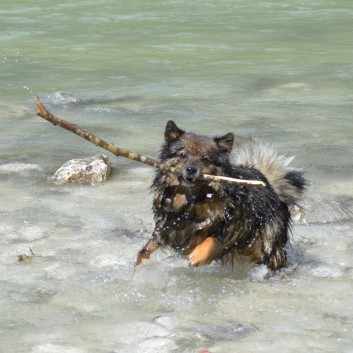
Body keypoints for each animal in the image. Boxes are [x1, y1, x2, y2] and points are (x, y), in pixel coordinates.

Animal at [135, 119, 306, 268]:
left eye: (205, 159)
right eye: (183, 155)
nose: (191, 169)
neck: (194, 199)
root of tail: (268, 183)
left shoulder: (234, 221)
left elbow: (213, 239)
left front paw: (197, 255)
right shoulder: (168, 222)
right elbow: (148, 247)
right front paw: (137, 265)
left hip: (268, 240)